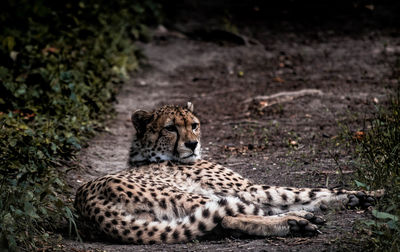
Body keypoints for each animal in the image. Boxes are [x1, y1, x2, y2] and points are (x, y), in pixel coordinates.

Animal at [75, 102, 382, 244]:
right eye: (171, 127)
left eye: (194, 125)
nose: (192, 144)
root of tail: (86, 202)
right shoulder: (247, 189)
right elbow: (300, 191)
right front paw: (370, 192)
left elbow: (302, 194)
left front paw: (356, 197)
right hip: (189, 195)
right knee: (232, 216)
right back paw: (295, 221)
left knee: (226, 221)